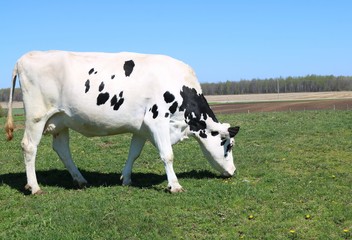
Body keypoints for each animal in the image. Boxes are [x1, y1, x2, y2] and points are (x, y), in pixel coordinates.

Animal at [5, 49, 241, 194]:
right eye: (228, 145)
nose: (233, 171)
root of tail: (24, 58)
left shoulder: (142, 127)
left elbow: (133, 153)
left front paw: (126, 179)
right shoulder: (157, 121)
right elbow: (168, 155)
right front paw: (174, 185)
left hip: (60, 120)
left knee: (62, 149)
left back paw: (80, 180)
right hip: (36, 116)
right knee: (29, 147)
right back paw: (34, 187)